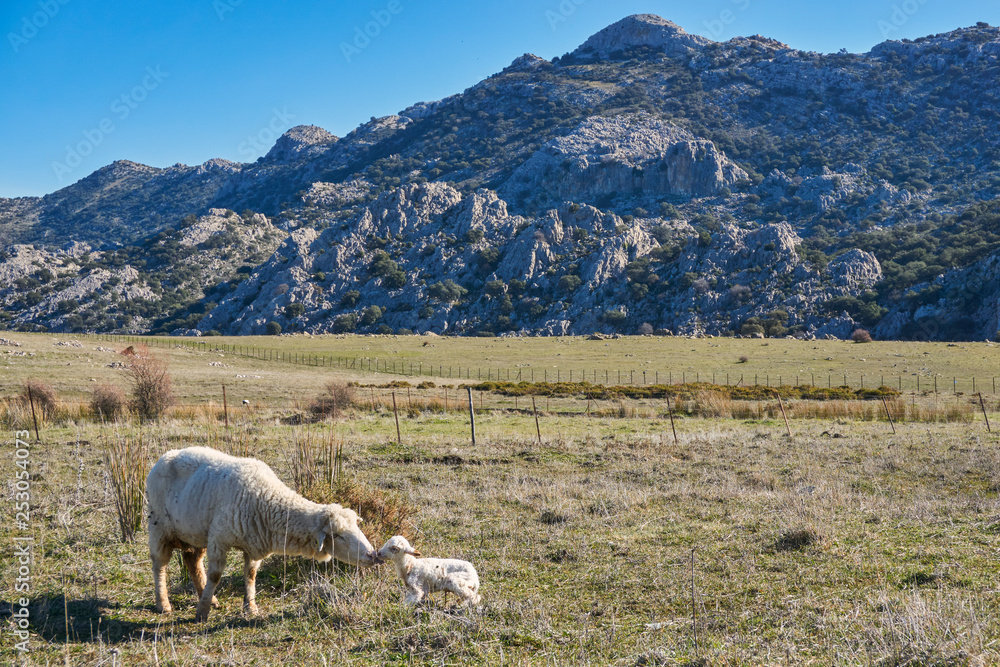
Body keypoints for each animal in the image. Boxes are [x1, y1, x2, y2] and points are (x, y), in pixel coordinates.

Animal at [146, 446, 380, 621]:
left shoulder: (253, 544)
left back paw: (210, 599)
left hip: (193, 531)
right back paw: (163, 604)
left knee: (192, 561)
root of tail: (168, 454)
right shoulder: (219, 538)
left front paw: (250, 608)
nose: (372, 554)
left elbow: (250, 575)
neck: (265, 498)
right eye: (339, 536)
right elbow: (215, 575)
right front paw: (202, 613)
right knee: (159, 564)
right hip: (158, 526)